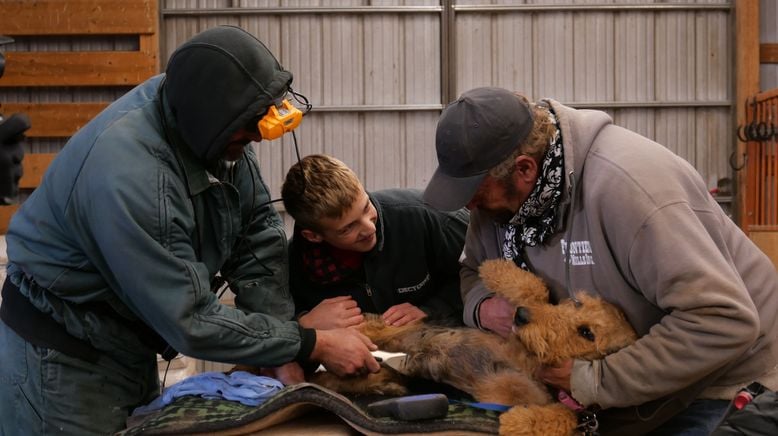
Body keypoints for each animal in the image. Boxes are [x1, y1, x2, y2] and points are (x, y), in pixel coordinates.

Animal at [312, 260, 632, 434]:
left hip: (395, 368)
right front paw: (495, 269)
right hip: (388, 334)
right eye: (576, 303)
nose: (521, 316)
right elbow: (534, 289)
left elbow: (562, 417)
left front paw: (515, 422)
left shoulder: (556, 403)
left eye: (586, 332)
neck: (529, 361)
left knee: (346, 378)